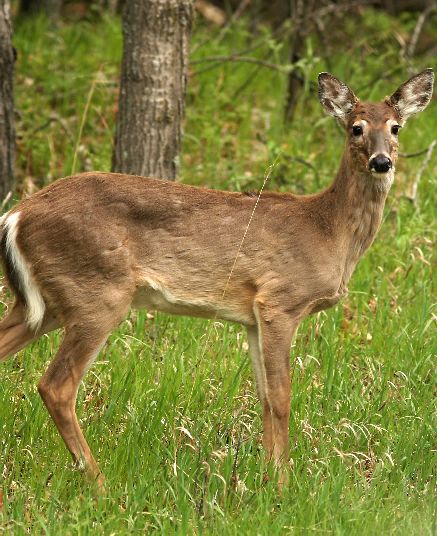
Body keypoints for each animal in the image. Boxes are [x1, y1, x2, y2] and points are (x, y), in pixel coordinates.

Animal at [0, 70, 432, 490]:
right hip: (98, 292)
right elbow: (282, 396)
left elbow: (263, 396)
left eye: (395, 127)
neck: (329, 231)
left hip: (47, 302)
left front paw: (265, 478)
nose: (381, 162)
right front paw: (283, 486)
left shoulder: (253, 317)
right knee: (56, 386)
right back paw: (100, 483)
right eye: (356, 127)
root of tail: (16, 215)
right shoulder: (280, 300)